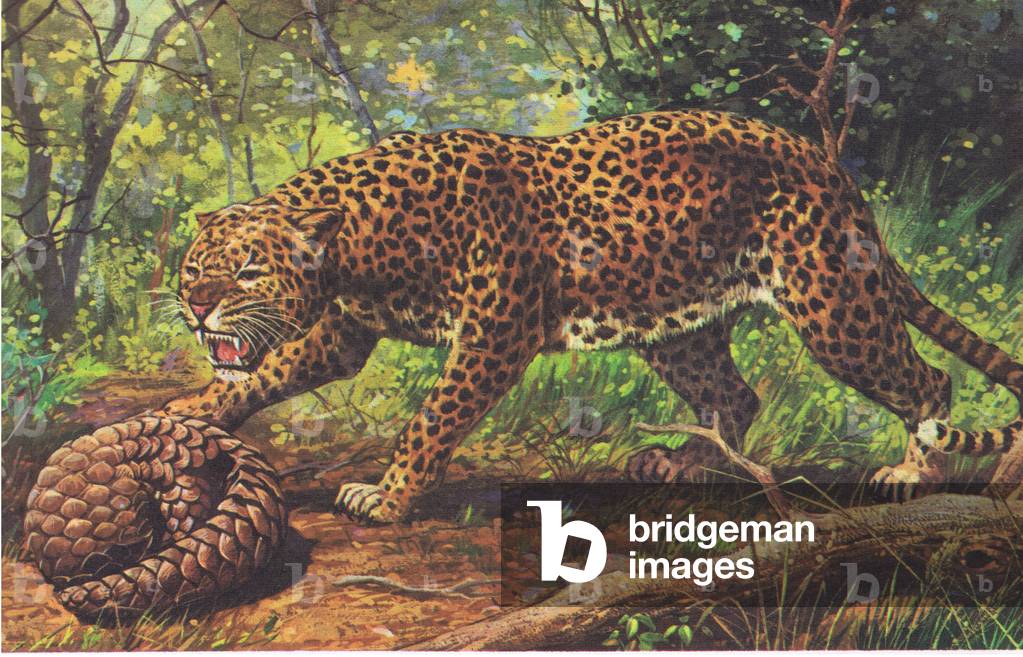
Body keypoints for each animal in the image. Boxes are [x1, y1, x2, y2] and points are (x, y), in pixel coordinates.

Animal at [162, 110, 1023, 523]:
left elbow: (430, 418)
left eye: (248, 268)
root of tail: (830, 168)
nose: (197, 308)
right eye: (193, 269)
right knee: (735, 395)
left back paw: (913, 471)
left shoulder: (491, 335)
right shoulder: (344, 328)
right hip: (677, 323)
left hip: (832, 307)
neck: (362, 242)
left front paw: (389, 497)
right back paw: (681, 461)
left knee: (927, 380)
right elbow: (262, 375)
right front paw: (183, 415)